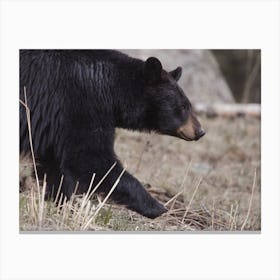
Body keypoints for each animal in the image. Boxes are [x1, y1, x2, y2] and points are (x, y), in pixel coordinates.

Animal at [19, 50, 203, 219]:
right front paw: (156, 207)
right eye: (183, 106)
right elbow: (91, 158)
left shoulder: (55, 124)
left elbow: (54, 164)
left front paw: (62, 202)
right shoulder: (79, 105)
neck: (111, 89)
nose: (200, 131)